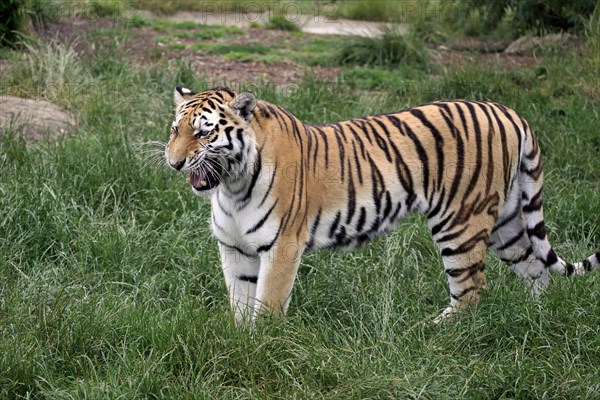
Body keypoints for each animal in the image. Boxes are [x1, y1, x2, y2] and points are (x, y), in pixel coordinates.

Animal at [164, 86, 600, 324]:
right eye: (175, 130)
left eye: (204, 133)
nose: (173, 162)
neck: (232, 186)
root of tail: (508, 111)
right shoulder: (234, 247)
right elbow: (240, 302)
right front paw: (241, 339)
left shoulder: (282, 247)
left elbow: (267, 304)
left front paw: (262, 347)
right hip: (506, 222)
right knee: (535, 269)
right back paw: (535, 320)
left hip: (460, 221)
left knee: (472, 290)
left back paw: (436, 329)